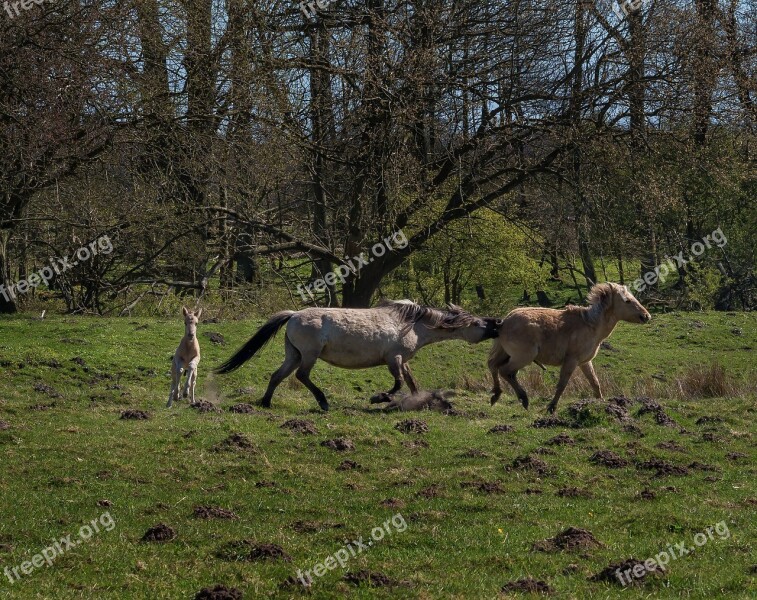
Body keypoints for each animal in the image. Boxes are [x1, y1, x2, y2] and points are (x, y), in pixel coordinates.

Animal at [214, 302, 502, 410]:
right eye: (478, 323)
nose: (497, 324)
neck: (413, 325)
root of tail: (294, 315)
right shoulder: (394, 359)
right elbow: (398, 383)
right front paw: (380, 398)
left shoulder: (403, 361)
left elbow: (411, 383)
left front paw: (421, 401)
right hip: (308, 355)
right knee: (302, 376)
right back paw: (323, 402)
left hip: (293, 354)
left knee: (278, 375)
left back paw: (265, 403)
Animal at [490, 284, 648, 414]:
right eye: (627, 301)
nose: (646, 316)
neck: (591, 325)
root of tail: (505, 321)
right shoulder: (571, 361)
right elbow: (562, 384)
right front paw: (551, 407)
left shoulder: (585, 362)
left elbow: (595, 383)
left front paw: (602, 403)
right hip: (523, 357)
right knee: (505, 371)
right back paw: (523, 399)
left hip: (506, 354)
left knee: (495, 367)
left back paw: (496, 395)